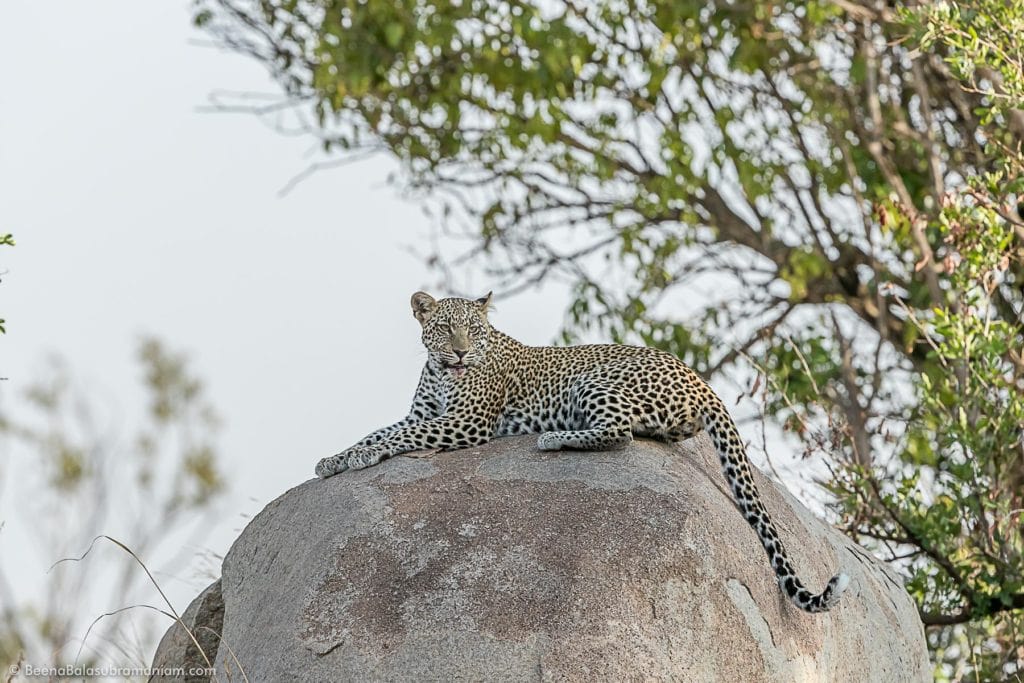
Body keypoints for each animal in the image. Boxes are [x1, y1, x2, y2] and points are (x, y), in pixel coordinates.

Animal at [315, 290, 851, 610]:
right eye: (446, 328)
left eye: (476, 330)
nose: (463, 351)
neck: (443, 372)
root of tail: (702, 381)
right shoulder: (424, 415)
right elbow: (376, 432)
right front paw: (335, 458)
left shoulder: (465, 422)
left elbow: (394, 438)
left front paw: (355, 458)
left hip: (594, 381)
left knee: (620, 433)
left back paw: (552, 438)